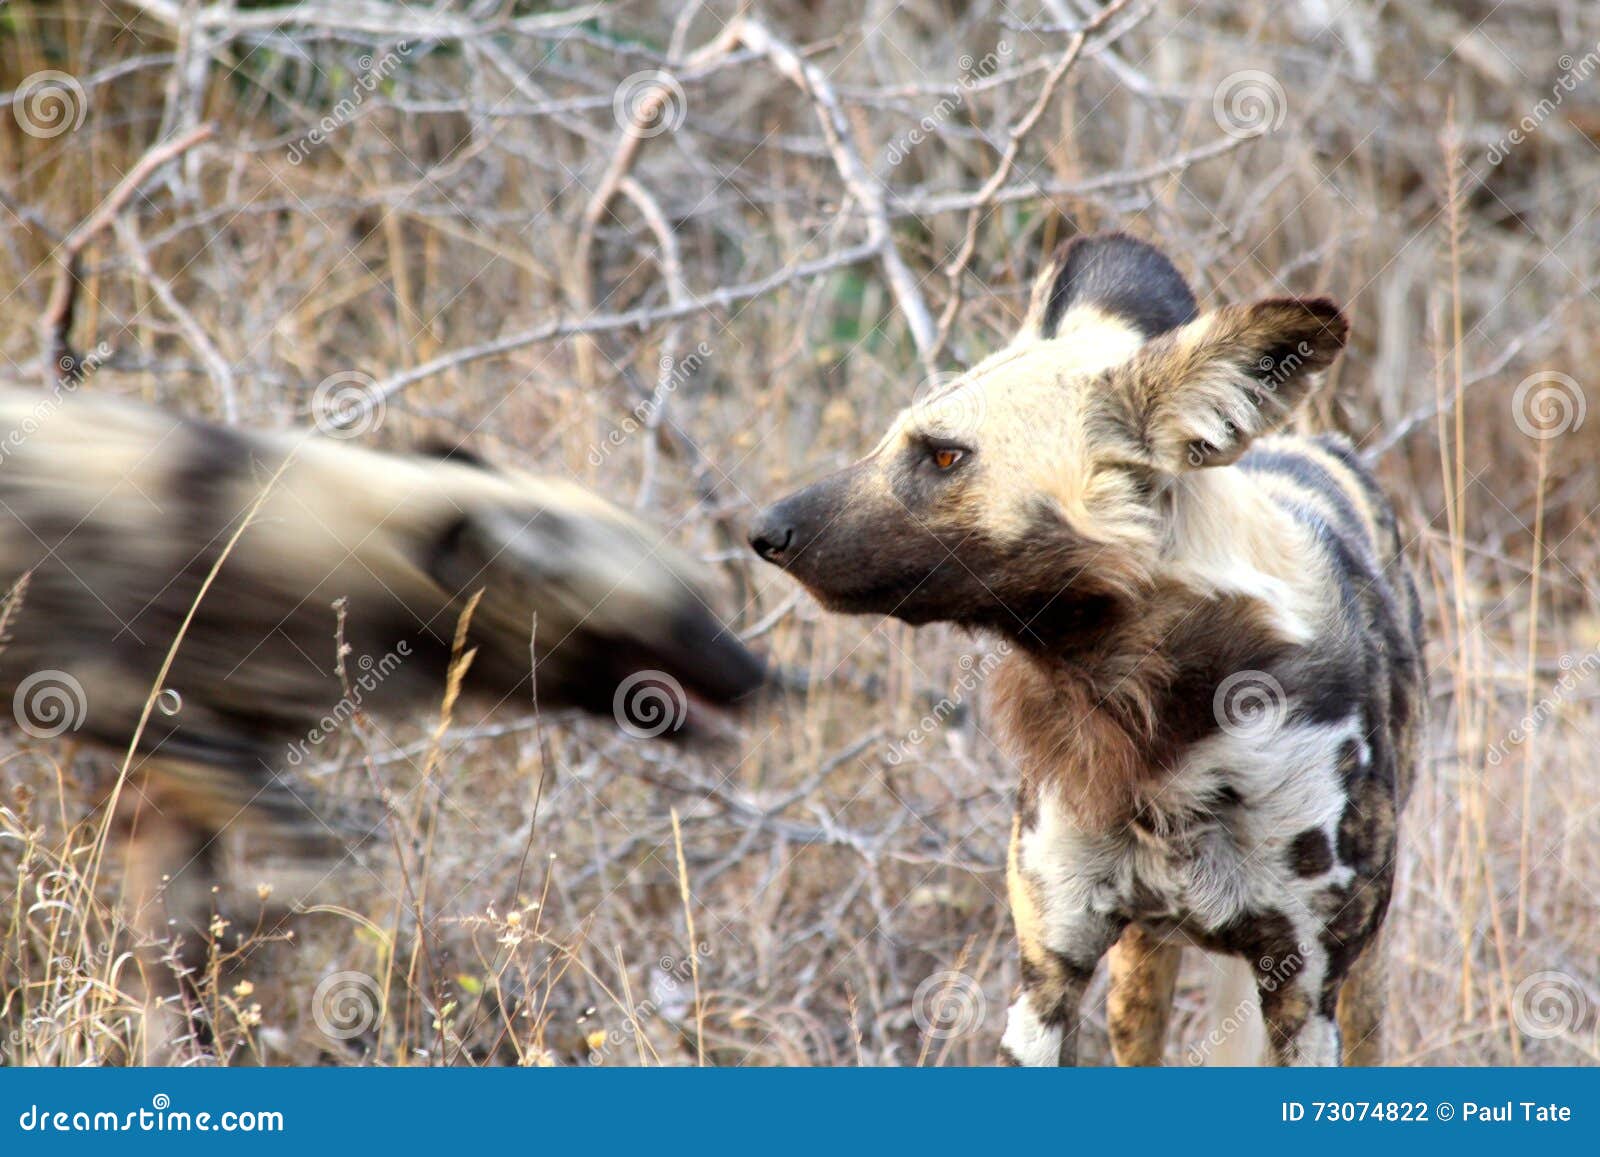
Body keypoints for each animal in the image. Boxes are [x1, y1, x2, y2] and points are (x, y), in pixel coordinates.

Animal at [0, 393, 761, 966]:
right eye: (686, 622)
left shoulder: (184, 785)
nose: (772, 679)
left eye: (707, 601)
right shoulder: (125, 703)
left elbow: (177, 945)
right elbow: (321, 851)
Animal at [748, 233, 1427, 1068]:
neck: (1155, 716)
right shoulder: (1049, 971)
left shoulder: (1304, 990)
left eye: (943, 456)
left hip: (1353, 991)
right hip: (1140, 972)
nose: (764, 530)